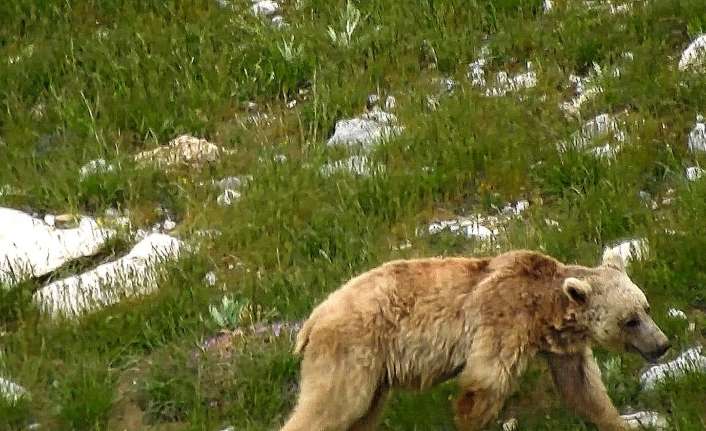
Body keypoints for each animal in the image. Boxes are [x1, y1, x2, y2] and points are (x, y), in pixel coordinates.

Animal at [278, 250, 668, 431]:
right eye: (630, 320)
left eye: (646, 307)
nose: (662, 344)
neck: (543, 310)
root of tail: (312, 319)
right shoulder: (501, 320)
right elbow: (484, 383)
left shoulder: (562, 346)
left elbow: (583, 389)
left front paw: (621, 421)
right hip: (353, 352)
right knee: (333, 406)